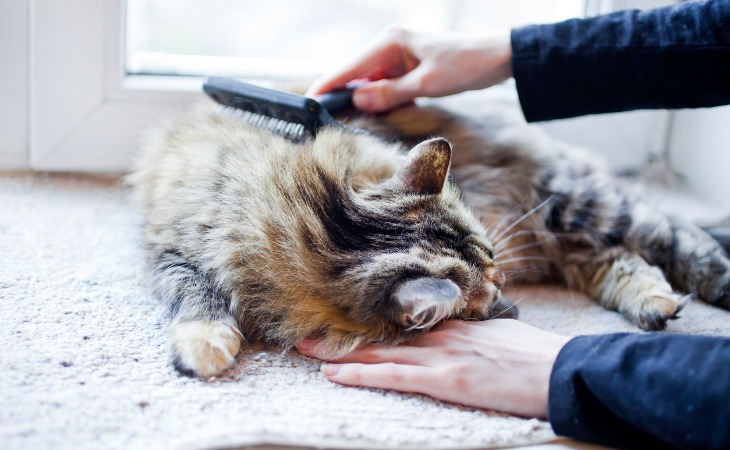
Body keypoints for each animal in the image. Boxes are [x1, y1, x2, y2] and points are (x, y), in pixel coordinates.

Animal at [128, 90, 728, 376]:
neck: (305, 214)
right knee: (619, 259)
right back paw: (652, 303)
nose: (508, 291)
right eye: (481, 291)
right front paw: (204, 342)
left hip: (576, 205)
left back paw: (708, 285)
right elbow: (195, 293)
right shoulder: (171, 249)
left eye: (495, 267)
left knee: (670, 234)